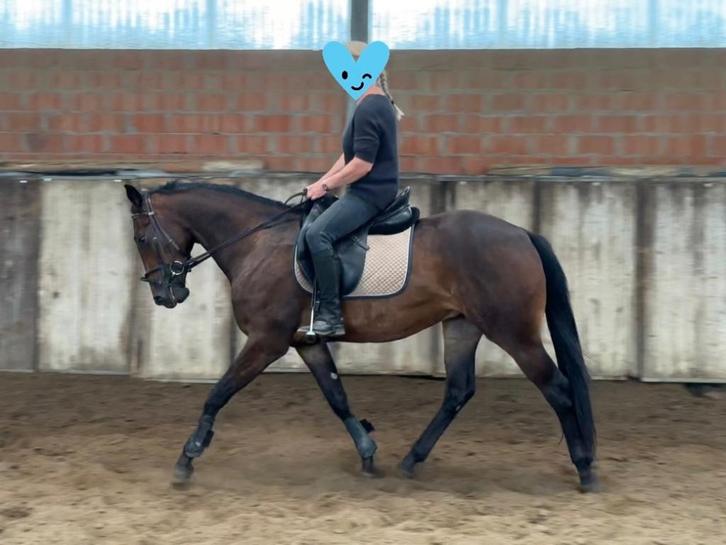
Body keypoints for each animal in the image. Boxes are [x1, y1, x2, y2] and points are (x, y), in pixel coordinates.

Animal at [124, 180, 599, 492]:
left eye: (142, 237)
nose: (166, 294)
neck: (259, 244)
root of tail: (523, 234)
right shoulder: (306, 342)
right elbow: (337, 398)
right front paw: (368, 453)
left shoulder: (266, 341)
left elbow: (218, 393)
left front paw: (187, 457)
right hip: (463, 325)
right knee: (458, 391)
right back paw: (411, 460)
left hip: (513, 332)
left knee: (557, 388)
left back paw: (586, 468)